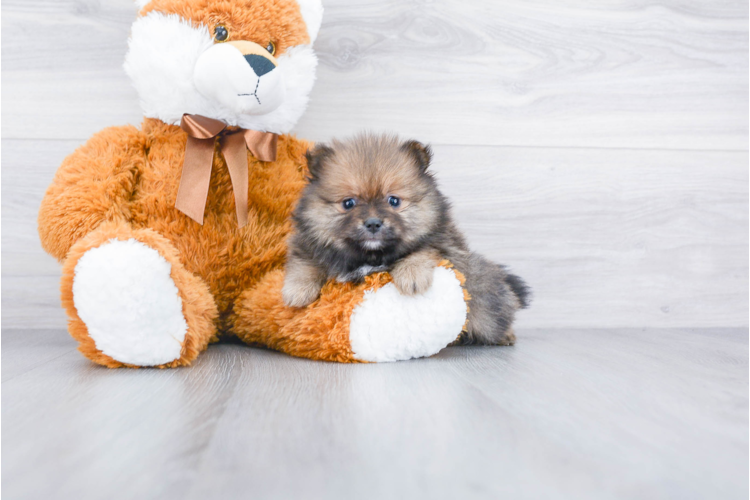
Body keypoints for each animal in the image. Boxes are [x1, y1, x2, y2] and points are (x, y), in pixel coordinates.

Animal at [284, 133, 536, 344]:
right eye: (348, 203)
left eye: (393, 201)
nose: (373, 223)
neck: (370, 256)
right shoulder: (309, 242)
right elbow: (304, 262)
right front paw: (297, 291)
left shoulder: (442, 244)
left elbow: (420, 252)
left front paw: (411, 276)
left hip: (485, 303)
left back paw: (506, 335)